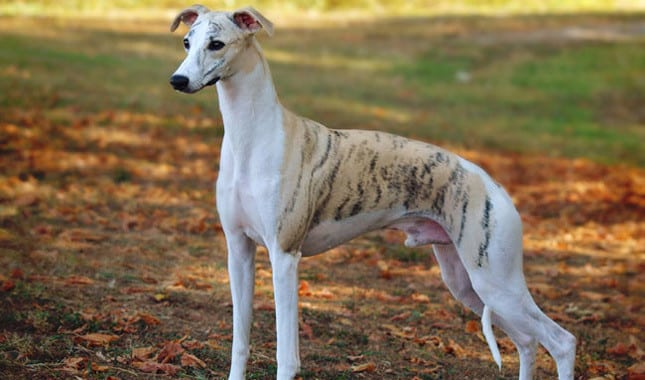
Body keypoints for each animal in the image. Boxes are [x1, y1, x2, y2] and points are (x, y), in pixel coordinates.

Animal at [169, 5, 576, 380]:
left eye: (217, 44)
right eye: (187, 41)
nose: (177, 80)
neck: (251, 138)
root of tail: (495, 187)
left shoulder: (285, 256)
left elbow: (287, 356)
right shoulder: (238, 250)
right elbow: (239, 342)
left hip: (496, 281)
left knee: (561, 341)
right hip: (467, 283)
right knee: (527, 341)